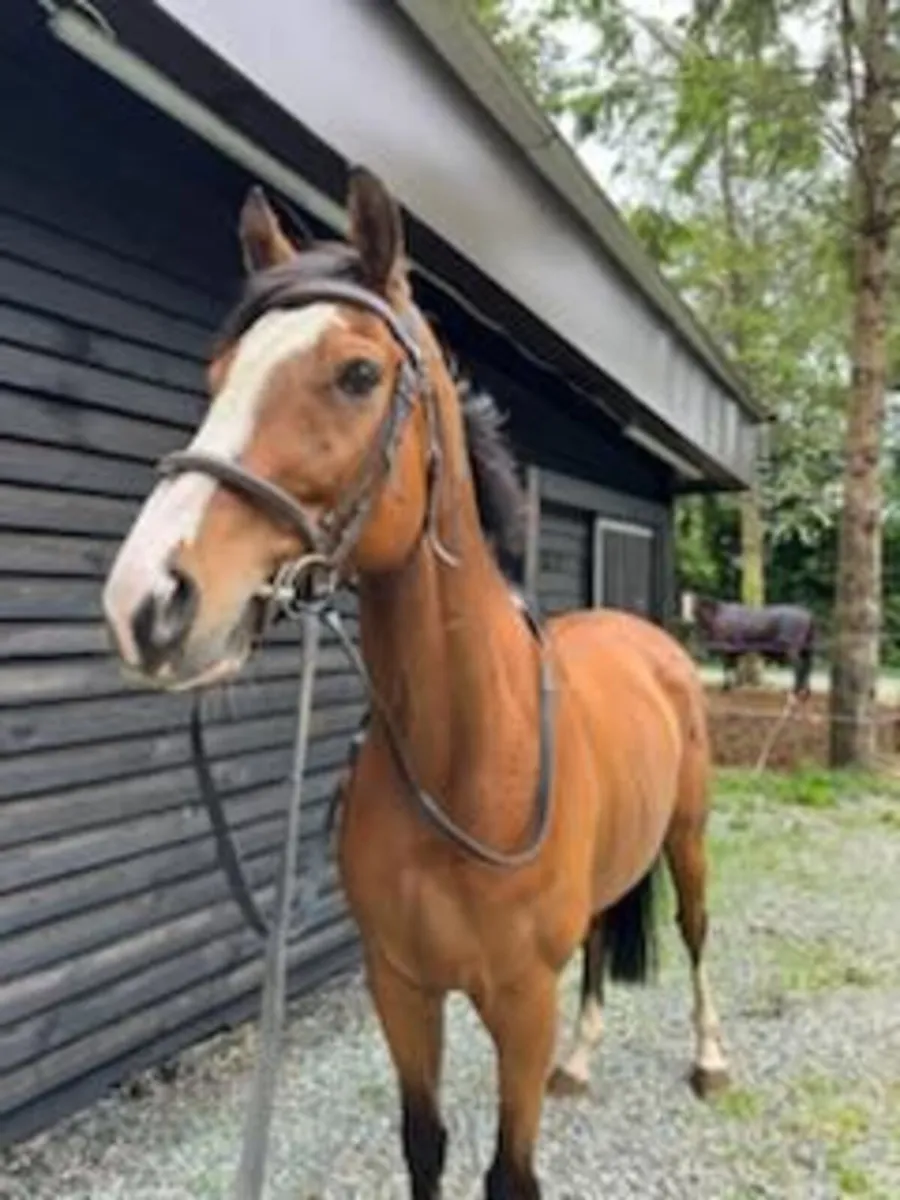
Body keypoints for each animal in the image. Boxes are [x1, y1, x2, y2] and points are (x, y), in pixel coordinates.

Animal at [101, 169, 730, 1199]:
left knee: (696, 928)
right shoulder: (398, 987)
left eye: (357, 374)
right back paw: (582, 1060)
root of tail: (648, 638)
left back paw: (711, 1058)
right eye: (216, 376)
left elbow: (509, 1174)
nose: (144, 600)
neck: (467, 760)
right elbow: (424, 1144)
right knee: (605, 934)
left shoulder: (520, 1005)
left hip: (687, 836)